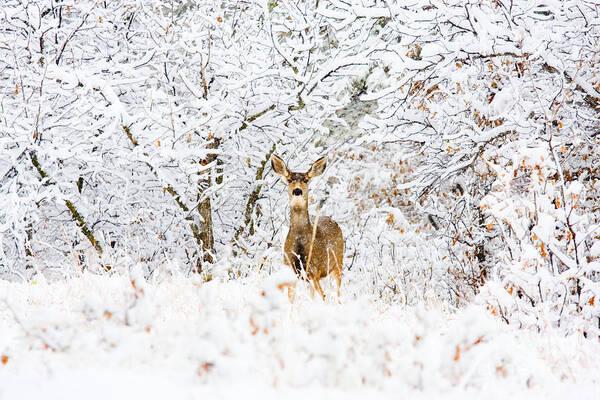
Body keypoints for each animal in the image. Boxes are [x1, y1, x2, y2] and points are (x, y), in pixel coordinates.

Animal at [270, 155, 344, 298]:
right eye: (289, 180)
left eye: (306, 180)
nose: (297, 190)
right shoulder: (290, 268)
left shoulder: (315, 270)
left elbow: (323, 296)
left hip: (338, 263)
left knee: (337, 292)